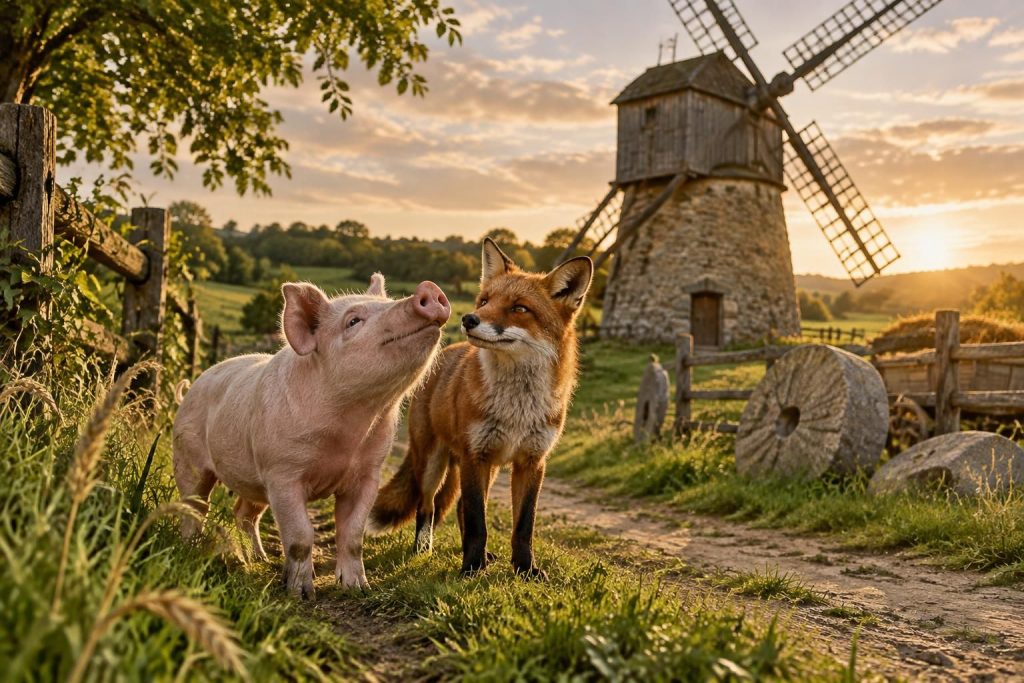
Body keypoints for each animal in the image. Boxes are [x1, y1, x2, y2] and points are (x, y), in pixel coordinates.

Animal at [172, 274, 450, 598]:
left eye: (386, 303)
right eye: (353, 320)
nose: (428, 288)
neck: (348, 433)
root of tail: (189, 390)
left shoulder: (368, 474)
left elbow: (353, 535)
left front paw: (358, 589)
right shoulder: (282, 472)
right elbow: (300, 536)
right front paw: (301, 594)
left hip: (255, 482)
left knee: (243, 513)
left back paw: (259, 560)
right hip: (188, 457)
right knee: (194, 506)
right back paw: (190, 550)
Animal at [368, 238, 593, 577]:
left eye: (519, 308)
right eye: (485, 300)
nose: (468, 319)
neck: (517, 407)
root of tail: (443, 352)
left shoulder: (532, 461)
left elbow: (523, 526)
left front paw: (525, 569)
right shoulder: (475, 455)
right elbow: (478, 522)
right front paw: (471, 569)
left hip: (490, 466)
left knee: (459, 505)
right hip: (434, 463)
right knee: (427, 506)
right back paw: (424, 549)